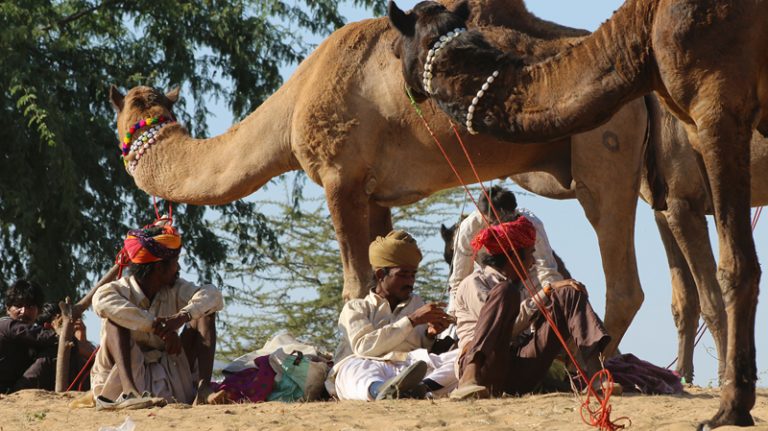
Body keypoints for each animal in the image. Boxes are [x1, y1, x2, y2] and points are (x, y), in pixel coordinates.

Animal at [108, 0, 648, 378]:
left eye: (129, 116)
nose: (127, 141)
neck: (294, 105)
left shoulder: (340, 178)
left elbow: (355, 280)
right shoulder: (378, 194)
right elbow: (381, 268)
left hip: (606, 152)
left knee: (623, 280)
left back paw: (591, 366)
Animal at [390, 0, 768, 426]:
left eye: (400, 43)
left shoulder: (712, 122)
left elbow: (724, 278)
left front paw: (728, 403)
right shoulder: (671, 198)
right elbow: (685, 297)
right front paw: (688, 377)